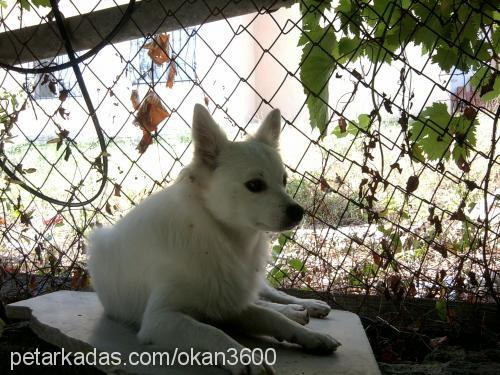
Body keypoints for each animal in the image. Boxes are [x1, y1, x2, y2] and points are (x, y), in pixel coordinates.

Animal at [88, 104, 342, 374]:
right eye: (255, 185)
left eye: (283, 181)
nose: (298, 212)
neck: (214, 234)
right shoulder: (161, 319)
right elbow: (213, 333)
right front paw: (246, 358)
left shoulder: (226, 304)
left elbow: (271, 317)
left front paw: (310, 337)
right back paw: (296, 311)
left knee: (269, 296)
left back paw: (303, 306)